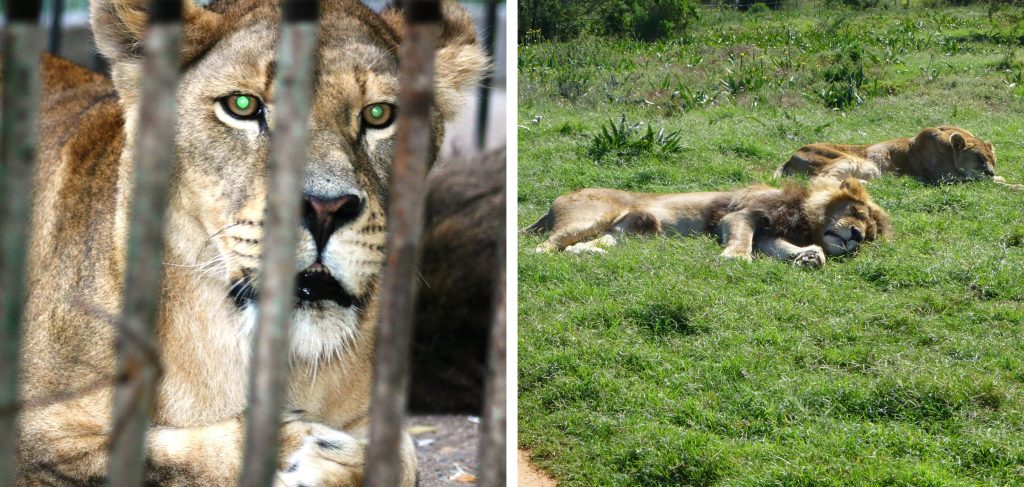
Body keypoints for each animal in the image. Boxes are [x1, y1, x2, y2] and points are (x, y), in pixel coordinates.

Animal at [528, 176, 888, 268]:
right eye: (858, 213)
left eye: (870, 236)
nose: (856, 236)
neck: (805, 220)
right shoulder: (743, 215)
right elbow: (742, 243)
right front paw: (733, 259)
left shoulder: (769, 234)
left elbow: (780, 248)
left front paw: (810, 256)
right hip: (591, 216)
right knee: (545, 246)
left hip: (621, 233)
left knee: (579, 246)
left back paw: (592, 253)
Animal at [770, 125, 1019, 188]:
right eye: (978, 158)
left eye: (992, 159)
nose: (990, 171)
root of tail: (791, 155)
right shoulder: (947, 180)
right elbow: (995, 184)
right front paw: (1013, 185)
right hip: (852, 159)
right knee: (820, 180)